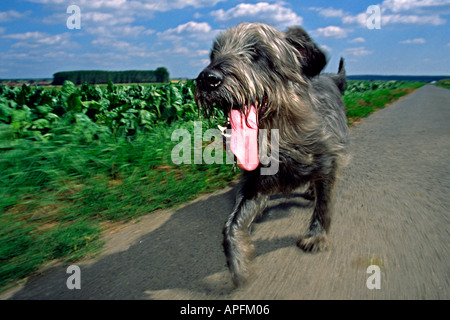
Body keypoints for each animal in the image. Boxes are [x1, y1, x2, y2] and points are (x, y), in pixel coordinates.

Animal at [194, 23, 348, 288]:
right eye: (213, 54)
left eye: (256, 51)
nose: (207, 79)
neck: (281, 137)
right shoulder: (253, 184)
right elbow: (231, 225)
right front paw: (238, 262)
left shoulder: (329, 162)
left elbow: (324, 204)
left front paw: (317, 237)